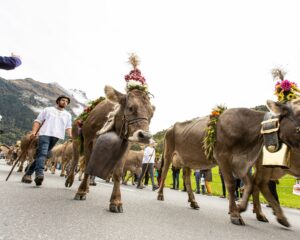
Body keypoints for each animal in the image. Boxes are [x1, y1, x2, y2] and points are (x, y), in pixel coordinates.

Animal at [65, 85, 155, 213]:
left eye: (151, 114)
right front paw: (81, 191)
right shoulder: (88, 140)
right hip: (76, 140)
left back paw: (87, 187)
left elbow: (118, 173)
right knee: (75, 160)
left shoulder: (126, 144)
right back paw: (70, 181)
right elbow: (87, 167)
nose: (146, 136)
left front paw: (116, 201)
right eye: (131, 108)